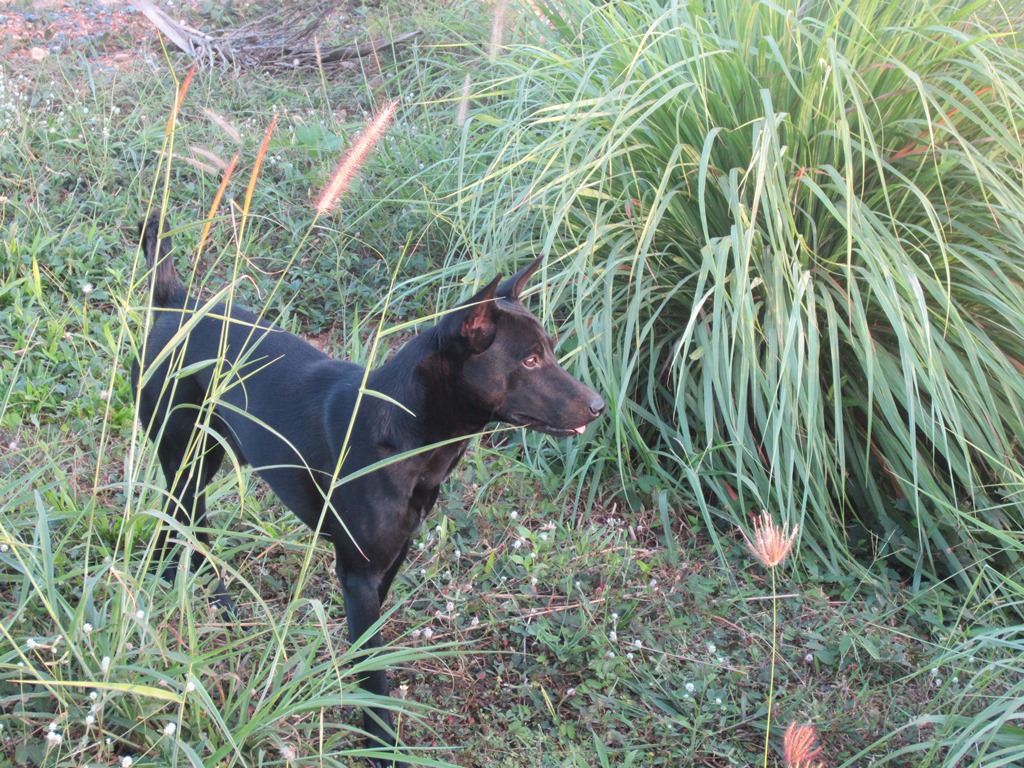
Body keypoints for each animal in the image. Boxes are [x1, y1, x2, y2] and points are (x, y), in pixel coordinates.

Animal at [132, 214, 602, 765]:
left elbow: (368, 652)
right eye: (529, 362)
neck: (404, 431)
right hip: (187, 453)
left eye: (548, 351)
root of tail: (174, 301)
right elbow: (374, 675)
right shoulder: (357, 575)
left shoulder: (389, 562)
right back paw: (211, 596)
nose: (597, 406)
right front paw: (382, 744)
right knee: (186, 520)